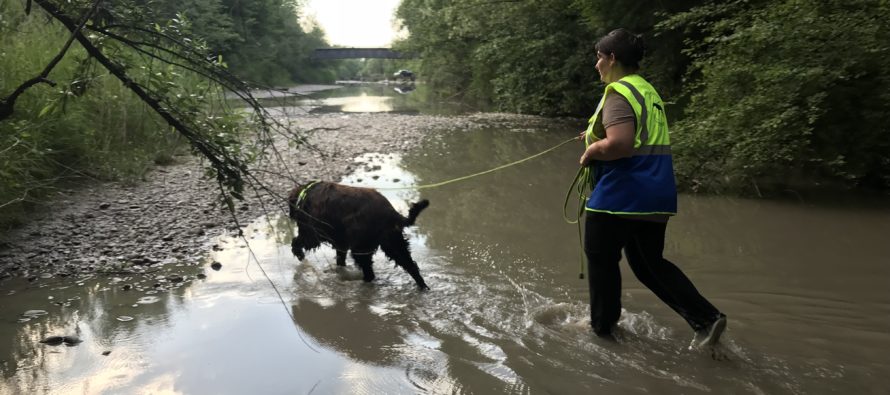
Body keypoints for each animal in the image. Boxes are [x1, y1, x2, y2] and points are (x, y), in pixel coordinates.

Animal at [288, 183, 430, 290]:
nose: (290, 215)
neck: (305, 194)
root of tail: (392, 213)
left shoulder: (312, 234)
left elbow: (297, 241)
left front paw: (299, 254)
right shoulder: (341, 243)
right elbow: (340, 259)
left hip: (361, 249)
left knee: (369, 273)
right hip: (394, 244)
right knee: (411, 266)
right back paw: (423, 288)